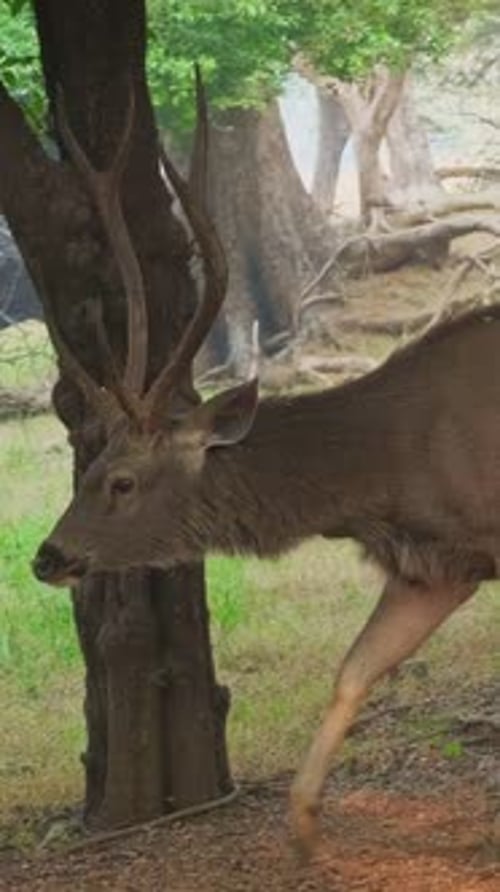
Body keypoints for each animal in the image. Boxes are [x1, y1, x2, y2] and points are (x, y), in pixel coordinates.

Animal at [32, 82, 500, 859]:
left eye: (121, 481)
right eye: (89, 464)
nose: (47, 556)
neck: (391, 465)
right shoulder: (435, 567)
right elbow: (353, 670)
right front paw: (305, 827)